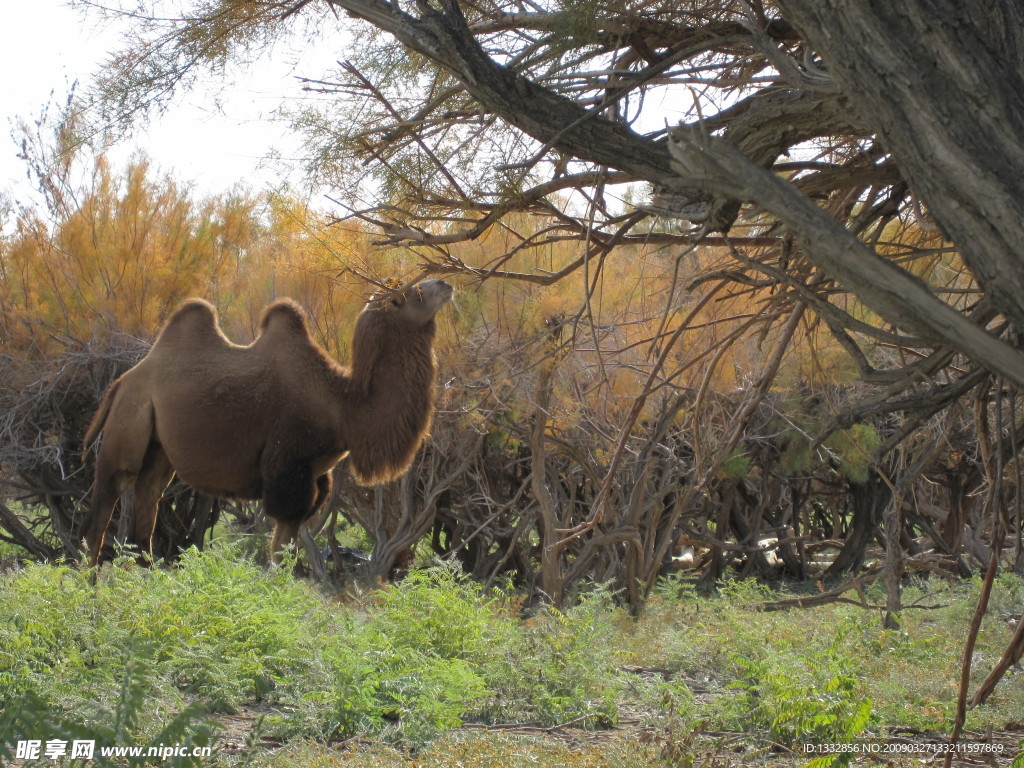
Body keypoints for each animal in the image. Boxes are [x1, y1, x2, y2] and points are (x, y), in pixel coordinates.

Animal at [81, 280, 458, 569]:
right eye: (413, 293)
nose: (445, 284)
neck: (342, 407)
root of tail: (123, 381)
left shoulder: (314, 479)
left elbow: (286, 551)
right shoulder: (288, 471)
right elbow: (279, 555)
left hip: (158, 447)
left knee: (148, 501)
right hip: (128, 418)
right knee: (107, 502)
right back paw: (91, 590)